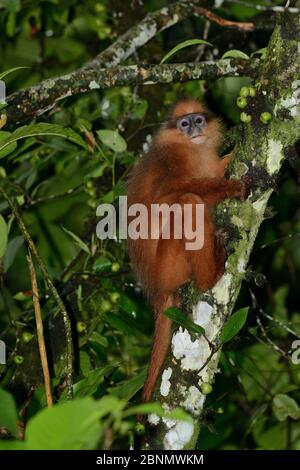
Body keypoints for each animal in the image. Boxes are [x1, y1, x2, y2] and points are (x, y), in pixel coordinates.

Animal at [126, 99, 248, 404]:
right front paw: (229, 187)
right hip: (169, 266)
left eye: (198, 120)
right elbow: (166, 198)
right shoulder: (171, 160)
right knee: (188, 203)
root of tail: (157, 290)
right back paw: (211, 274)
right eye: (184, 124)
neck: (191, 148)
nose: (194, 129)